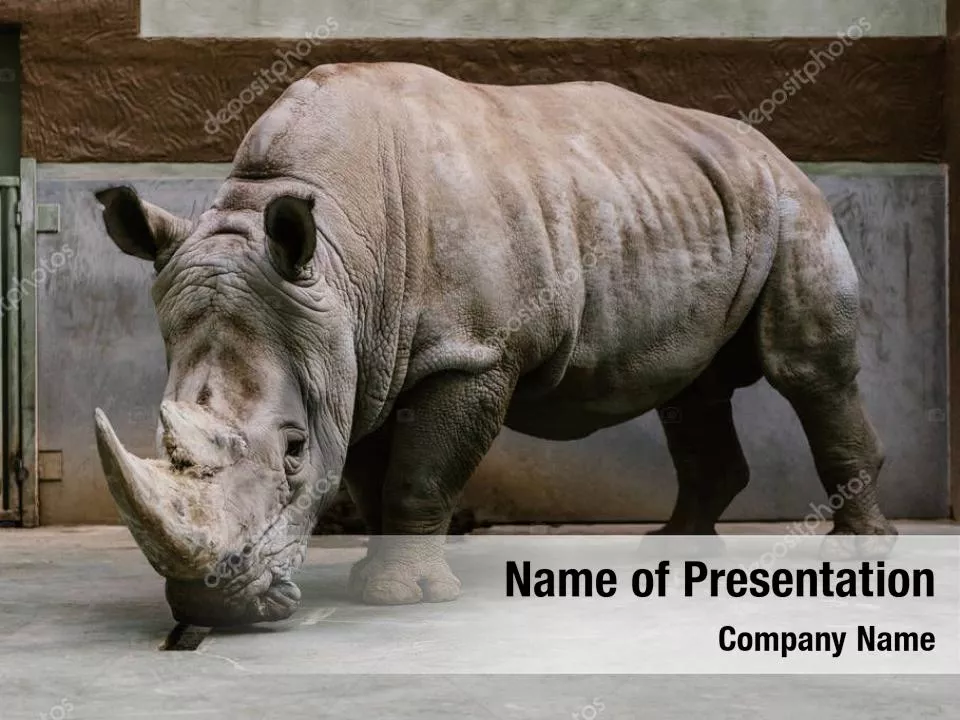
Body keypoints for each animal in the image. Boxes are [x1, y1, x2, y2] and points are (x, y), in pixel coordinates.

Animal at [94, 62, 895, 627]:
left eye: (292, 451)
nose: (209, 605)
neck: (340, 258)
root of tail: (768, 144)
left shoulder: (469, 353)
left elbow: (418, 475)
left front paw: (403, 598)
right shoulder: (358, 357)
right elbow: (366, 474)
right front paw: (371, 580)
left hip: (791, 204)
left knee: (808, 373)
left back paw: (858, 559)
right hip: (693, 199)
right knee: (692, 389)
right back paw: (673, 551)